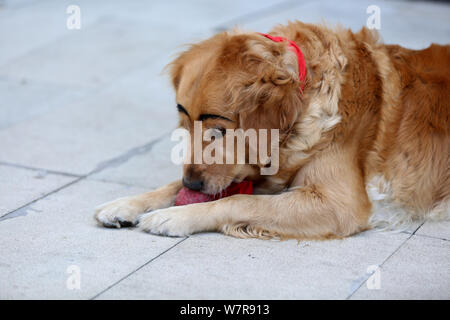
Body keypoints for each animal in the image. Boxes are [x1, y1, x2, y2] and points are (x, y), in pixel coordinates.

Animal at [93, 20, 448, 240]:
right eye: (184, 124)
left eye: (219, 131)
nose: (191, 183)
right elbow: (172, 187)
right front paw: (126, 204)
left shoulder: (339, 203)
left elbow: (237, 202)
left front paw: (175, 217)